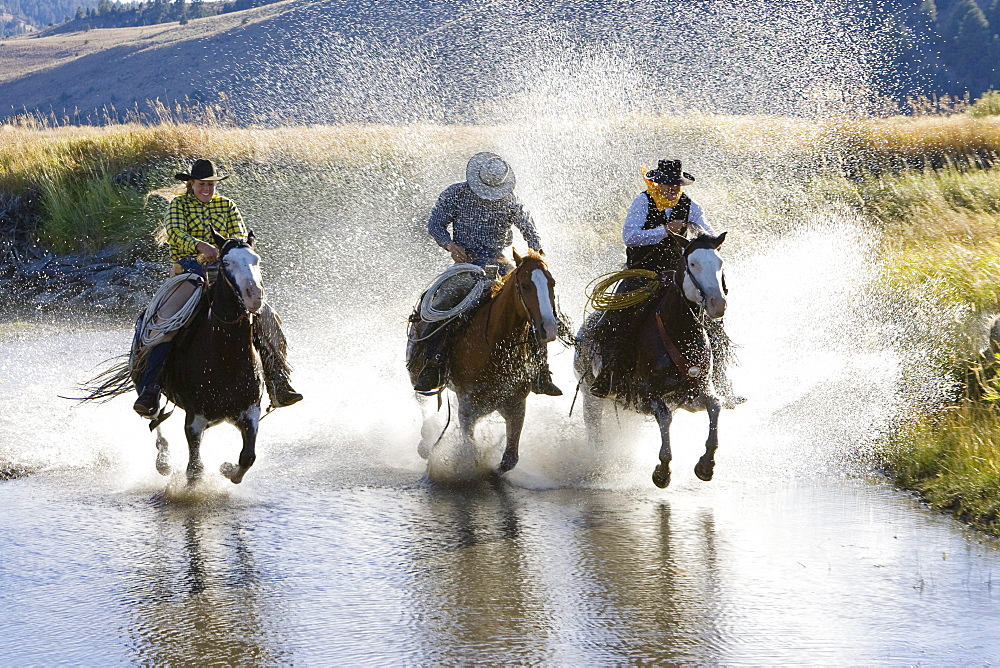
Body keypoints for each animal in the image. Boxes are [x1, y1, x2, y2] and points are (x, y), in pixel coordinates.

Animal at [79, 232, 266, 482]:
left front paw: (226, 468)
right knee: (154, 416)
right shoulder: (194, 419)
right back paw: (164, 461)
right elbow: (195, 470)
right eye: (226, 262)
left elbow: (247, 458)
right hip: (144, 385)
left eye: (256, 260)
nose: (254, 296)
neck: (226, 359)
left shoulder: (251, 412)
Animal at [418, 250, 564, 474]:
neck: (495, 348)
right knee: (423, 402)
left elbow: (509, 460)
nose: (548, 328)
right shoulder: (467, 408)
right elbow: (470, 450)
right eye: (525, 286)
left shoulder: (516, 404)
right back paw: (425, 443)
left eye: (552, 283)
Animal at [576, 232, 732, 488]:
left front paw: (706, 465)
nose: (717, 304)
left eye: (720, 263)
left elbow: (715, 406)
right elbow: (665, 418)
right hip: (591, 396)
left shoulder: (692, 395)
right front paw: (662, 472)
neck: (679, 335)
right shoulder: (644, 396)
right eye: (693, 264)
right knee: (595, 430)